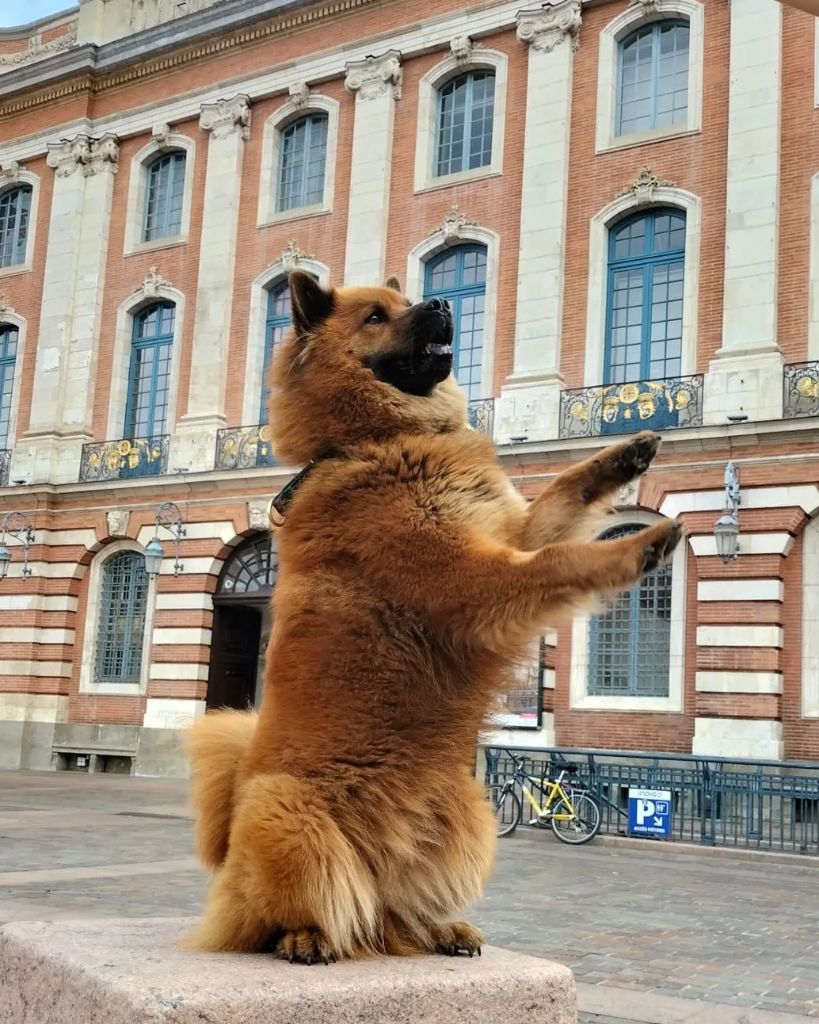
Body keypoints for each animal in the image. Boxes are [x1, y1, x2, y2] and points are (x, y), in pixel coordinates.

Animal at [184, 270, 679, 958]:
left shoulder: (506, 533)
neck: (381, 440)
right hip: (287, 813)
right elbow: (562, 558)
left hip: (466, 817)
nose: (443, 302)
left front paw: (625, 454)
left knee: (386, 916)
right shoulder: (472, 580)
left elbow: (563, 492)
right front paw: (640, 545)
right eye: (375, 316)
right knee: (308, 914)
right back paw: (306, 937)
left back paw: (438, 928)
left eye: (407, 301)